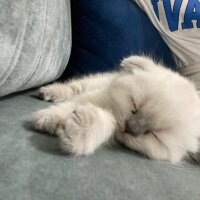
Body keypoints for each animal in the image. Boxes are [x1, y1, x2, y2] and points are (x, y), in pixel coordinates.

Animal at [32, 55, 200, 163]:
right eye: (134, 104)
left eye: (154, 135)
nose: (129, 128)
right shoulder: (99, 96)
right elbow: (68, 107)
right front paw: (48, 120)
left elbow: (106, 123)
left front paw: (77, 131)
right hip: (94, 82)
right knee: (75, 87)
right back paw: (50, 92)